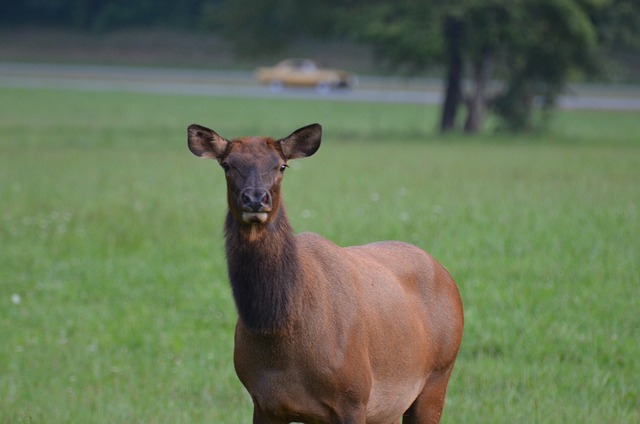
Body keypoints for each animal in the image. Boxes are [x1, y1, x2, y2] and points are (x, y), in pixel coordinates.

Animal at [188, 123, 462, 424]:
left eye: (281, 165)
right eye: (227, 164)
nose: (256, 198)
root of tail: (447, 276)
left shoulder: (355, 395)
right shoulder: (264, 402)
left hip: (438, 375)